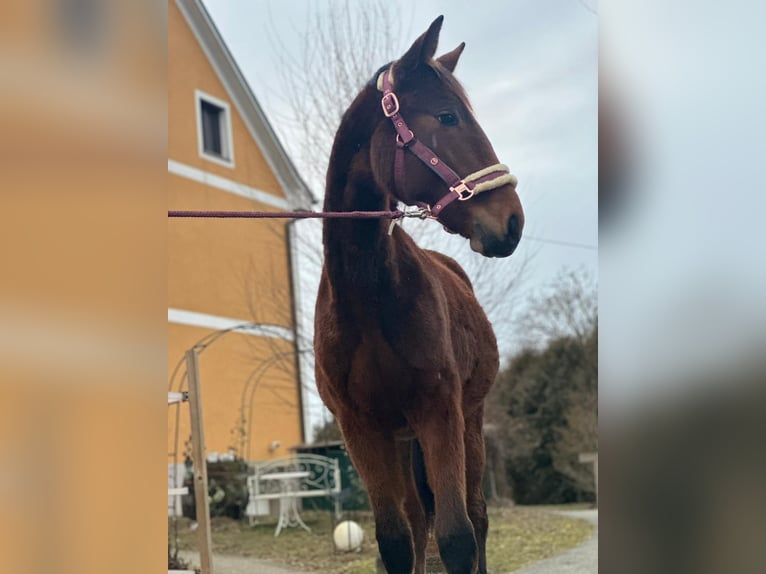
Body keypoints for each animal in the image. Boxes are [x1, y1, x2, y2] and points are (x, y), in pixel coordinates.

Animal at [316, 15, 524, 572]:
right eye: (447, 116)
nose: (512, 222)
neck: (369, 299)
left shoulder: (440, 414)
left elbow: (458, 535)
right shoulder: (363, 431)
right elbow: (395, 540)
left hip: (469, 423)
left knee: (477, 517)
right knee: (417, 520)